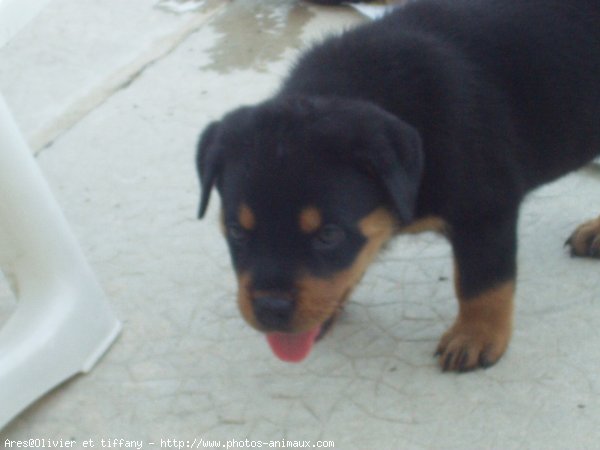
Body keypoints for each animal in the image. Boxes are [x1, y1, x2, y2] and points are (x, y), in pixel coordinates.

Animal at [197, 0, 600, 372]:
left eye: (329, 235)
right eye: (236, 231)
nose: (270, 309)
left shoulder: (485, 208)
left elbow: (482, 281)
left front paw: (476, 335)